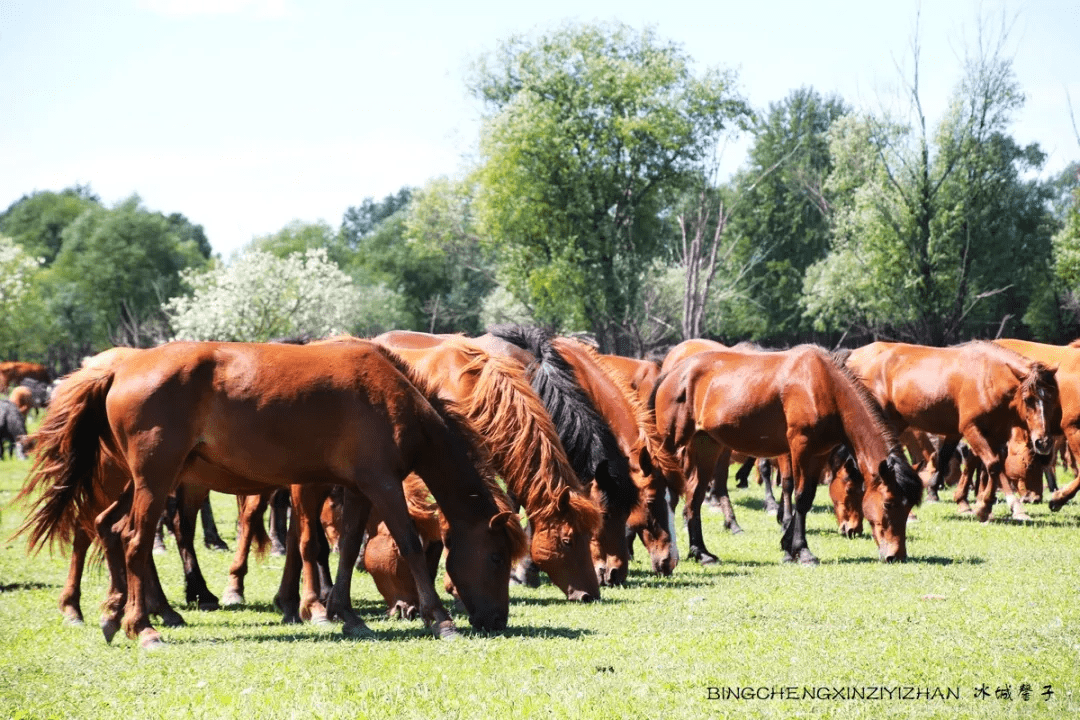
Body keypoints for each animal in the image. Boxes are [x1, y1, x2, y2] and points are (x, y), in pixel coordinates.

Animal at [14, 341, 524, 651]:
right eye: (497, 558)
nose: (497, 620)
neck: (393, 395)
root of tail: (120, 367)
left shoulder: (358, 489)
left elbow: (345, 550)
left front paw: (345, 614)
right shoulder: (382, 484)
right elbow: (409, 547)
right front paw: (439, 619)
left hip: (142, 484)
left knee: (108, 528)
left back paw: (114, 612)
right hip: (155, 482)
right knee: (134, 541)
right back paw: (143, 627)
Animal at [648, 345, 920, 565]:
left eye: (909, 507)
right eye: (888, 503)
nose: (896, 555)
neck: (824, 385)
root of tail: (672, 373)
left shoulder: (817, 453)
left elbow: (807, 496)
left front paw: (789, 548)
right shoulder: (800, 446)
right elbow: (800, 496)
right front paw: (803, 551)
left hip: (707, 446)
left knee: (693, 497)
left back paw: (701, 553)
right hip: (671, 446)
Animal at [846, 341, 1058, 520]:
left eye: (1052, 399)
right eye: (1028, 399)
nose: (1043, 442)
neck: (987, 377)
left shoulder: (995, 434)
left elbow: (995, 465)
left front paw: (1002, 506)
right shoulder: (970, 429)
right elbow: (993, 465)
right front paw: (987, 507)